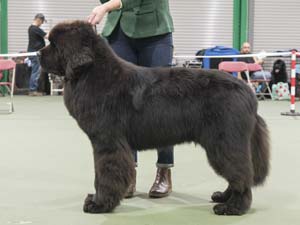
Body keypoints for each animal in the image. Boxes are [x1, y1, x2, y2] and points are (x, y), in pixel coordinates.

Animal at [38, 21, 270, 216]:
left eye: (54, 44)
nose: (38, 53)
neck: (91, 72)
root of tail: (247, 92)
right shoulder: (102, 144)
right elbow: (100, 173)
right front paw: (97, 199)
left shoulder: (107, 143)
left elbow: (105, 174)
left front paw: (99, 204)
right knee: (238, 173)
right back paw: (223, 196)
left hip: (224, 141)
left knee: (241, 174)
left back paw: (233, 207)